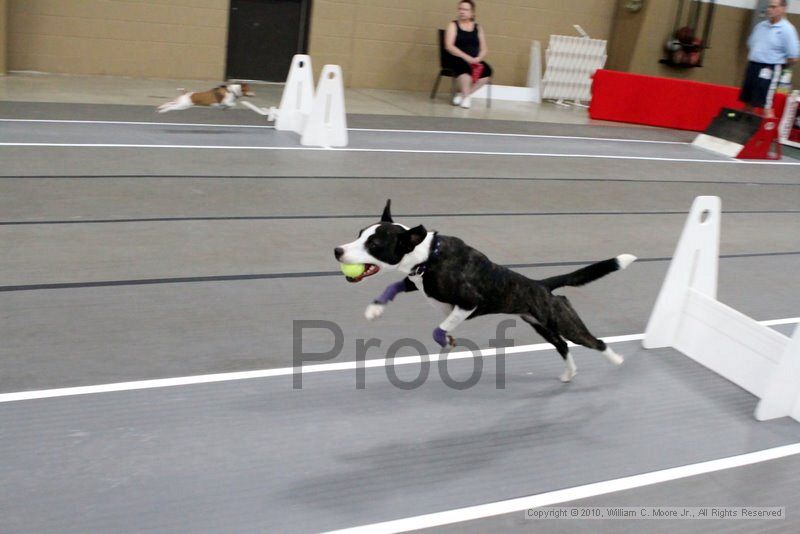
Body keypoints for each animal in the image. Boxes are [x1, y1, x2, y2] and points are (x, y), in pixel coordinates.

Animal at [332, 199, 636, 384]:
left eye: (374, 244)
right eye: (360, 233)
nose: (337, 250)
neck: (427, 256)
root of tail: (542, 285)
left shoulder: (468, 302)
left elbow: (439, 328)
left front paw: (446, 340)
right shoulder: (415, 280)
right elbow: (393, 285)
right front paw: (375, 308)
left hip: (563, 321)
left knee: (593, 341)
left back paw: (617, 359)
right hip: (541, 325)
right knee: (562, 346)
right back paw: (570, 372)